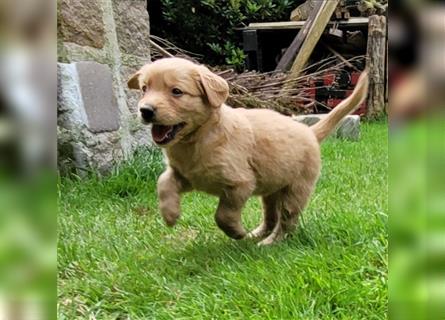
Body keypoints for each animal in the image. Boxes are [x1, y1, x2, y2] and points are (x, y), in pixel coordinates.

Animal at [127, 58, 368, 245]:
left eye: (176, 92)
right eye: (144, 89)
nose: (145, 110)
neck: (199, 138)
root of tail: (309, 131)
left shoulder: (240, 184)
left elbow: (223, 215)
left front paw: (236, 232)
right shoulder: (187, 175)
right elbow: (163, 182)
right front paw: (170, 214)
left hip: (296, 189)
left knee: (286, 221)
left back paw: (270, 242)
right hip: (271, 189)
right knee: (271, 217)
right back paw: (257, 234)